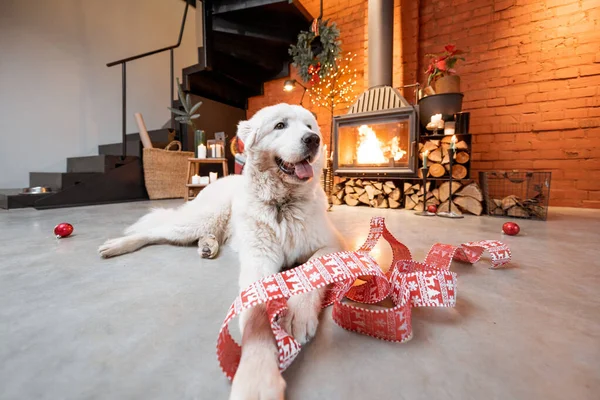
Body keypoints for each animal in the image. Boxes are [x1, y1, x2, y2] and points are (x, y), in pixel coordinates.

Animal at [98, 104, 342, 400]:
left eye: (309, 127)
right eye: (280, 126)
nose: (313, 140)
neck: (282, 205)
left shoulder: (332, 243)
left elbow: (314, 266)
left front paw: (299, 313)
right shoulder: (258, 260)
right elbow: (256, 313)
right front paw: (256, 377)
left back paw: (207, 245)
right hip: (201, 219)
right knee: (156, 230)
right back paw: (118, 245)